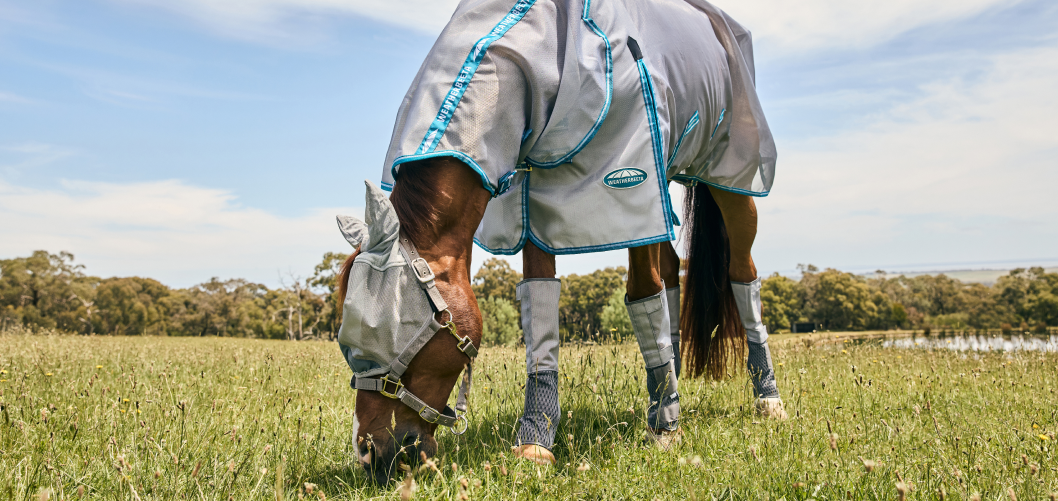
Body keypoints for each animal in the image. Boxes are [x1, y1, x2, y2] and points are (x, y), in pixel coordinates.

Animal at [333, 0, 786, 485]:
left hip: (729, 183)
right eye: (347, 345)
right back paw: (670, 388)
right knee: (671, 275)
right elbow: (542, 310)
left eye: (393, 334)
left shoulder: (632, 184)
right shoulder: (535, 198)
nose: (371, 454)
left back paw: (766, 400)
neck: (544, 47)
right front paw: (537, 441)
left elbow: (642, 292)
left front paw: (665, 429)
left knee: (742, 274)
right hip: (660, 196)